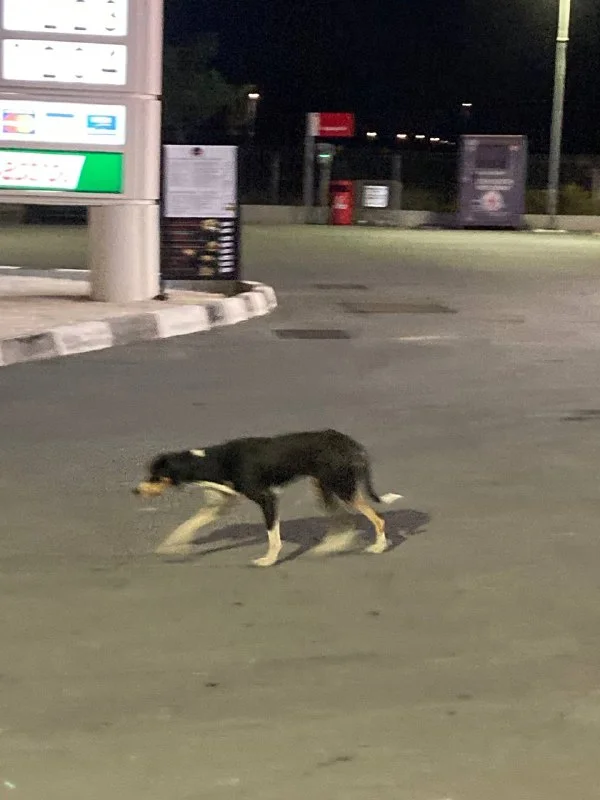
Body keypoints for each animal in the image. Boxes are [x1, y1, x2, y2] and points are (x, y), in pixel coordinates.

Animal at [133, 429, 402, 567]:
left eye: (155, 477)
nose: (135, 491)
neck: (213, 461)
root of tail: (350, 442)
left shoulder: (267, 499)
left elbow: (273, 536)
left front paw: (269, 560)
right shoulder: (220, 506)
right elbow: (187, 525)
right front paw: (171, 545)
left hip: (341, 487)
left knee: (376, 518)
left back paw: (378, 546)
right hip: (324, 488)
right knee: (344, 519)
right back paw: (331, 547)